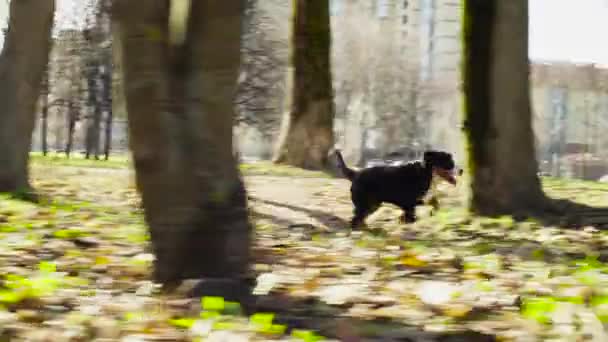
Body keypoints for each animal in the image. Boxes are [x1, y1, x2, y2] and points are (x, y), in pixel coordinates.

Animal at [332, 150, 460, 230]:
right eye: (449, 163)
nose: (462, 170)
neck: (426, 173)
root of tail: (356, 173)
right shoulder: (410, 202)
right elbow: (412, 216)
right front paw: (406, 221)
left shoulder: (421, 199)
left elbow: (435, 204)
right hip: (364, 203)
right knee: (356, 219)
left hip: (373, 204)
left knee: (360, 218)